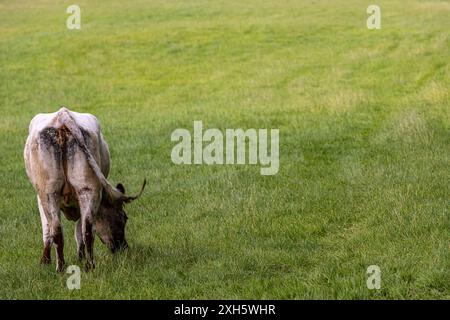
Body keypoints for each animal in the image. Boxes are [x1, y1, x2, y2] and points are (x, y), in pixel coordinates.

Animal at [23, 107, 146, 270]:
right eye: (124, 218)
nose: (123, 247)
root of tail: (63, 116)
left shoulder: (40, 197)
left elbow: (52, 230)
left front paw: (46, 260)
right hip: (83, 189)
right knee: (82, 229)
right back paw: (85, 266)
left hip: (52, 192)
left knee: (65, 228)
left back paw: (66, 267)